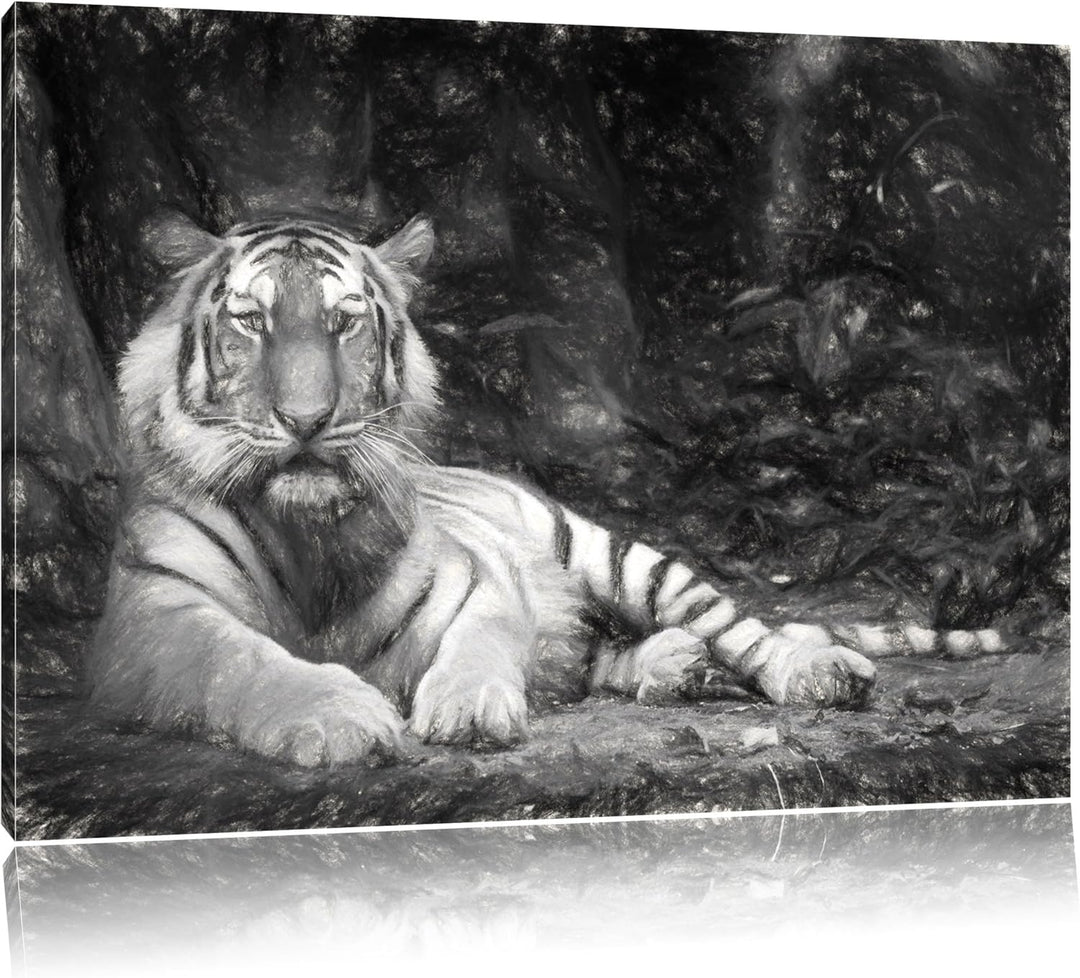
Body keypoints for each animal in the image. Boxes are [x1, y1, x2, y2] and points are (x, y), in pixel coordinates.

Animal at [89, 211, 1007, 768]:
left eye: (345, 321)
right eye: (252, 321)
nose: (308, 419)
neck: (309, 532)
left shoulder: (479, 574)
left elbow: (483, 637)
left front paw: (466, 711)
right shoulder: (154, 612)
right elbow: (240, 659)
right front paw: (342, 718)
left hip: (619, 554)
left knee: (744, 631)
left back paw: (812, 673)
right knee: (592, 654)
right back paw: (670, 666)